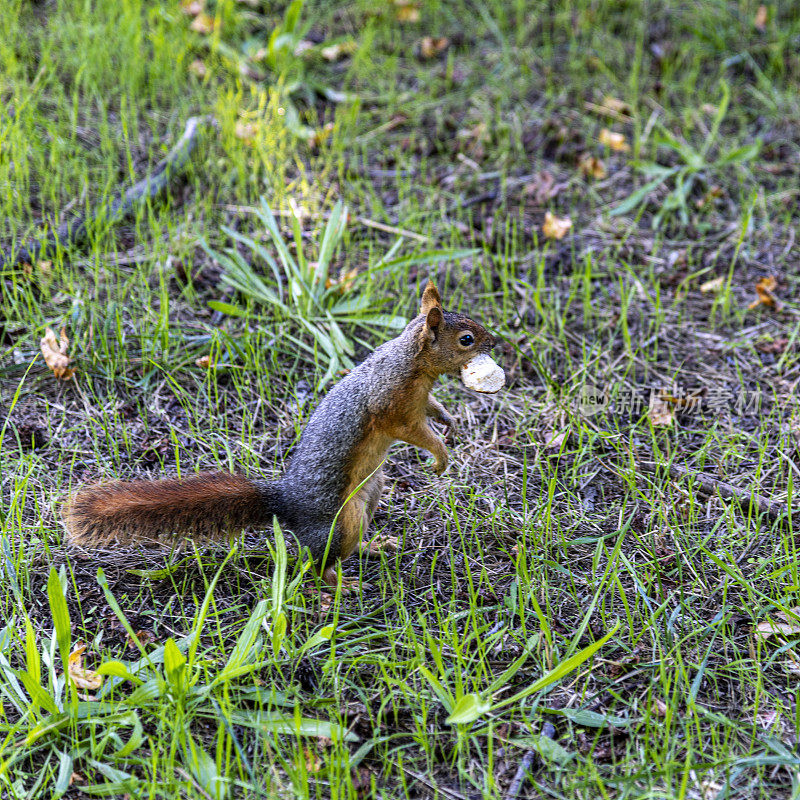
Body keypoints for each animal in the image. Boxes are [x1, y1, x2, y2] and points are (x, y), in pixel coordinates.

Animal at [67, 282, 506, 588]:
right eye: (466, 339)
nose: (496, 341)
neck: (411, 364)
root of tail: (285, 503)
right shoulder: (394, 406)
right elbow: (416, 431)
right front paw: (441, 454)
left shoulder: (418, 400)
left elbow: (432, 410)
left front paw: (448, 419)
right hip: (342, 519)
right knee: (316, 562)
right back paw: (338, 585)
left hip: (371, 493)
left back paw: (374, 547)